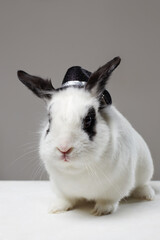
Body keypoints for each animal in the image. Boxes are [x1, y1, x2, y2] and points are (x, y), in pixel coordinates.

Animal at [17, 56, 155, 216]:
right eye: (49, 120)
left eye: (88, 119)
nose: (64, 148)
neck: (77, 170)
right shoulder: (61, 188)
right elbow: (66, 199)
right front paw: (56, 208)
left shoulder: (117, 185)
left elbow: (108, 200)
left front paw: (100, 211)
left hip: (146, 168)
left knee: (142, 184)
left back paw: (148, 195)